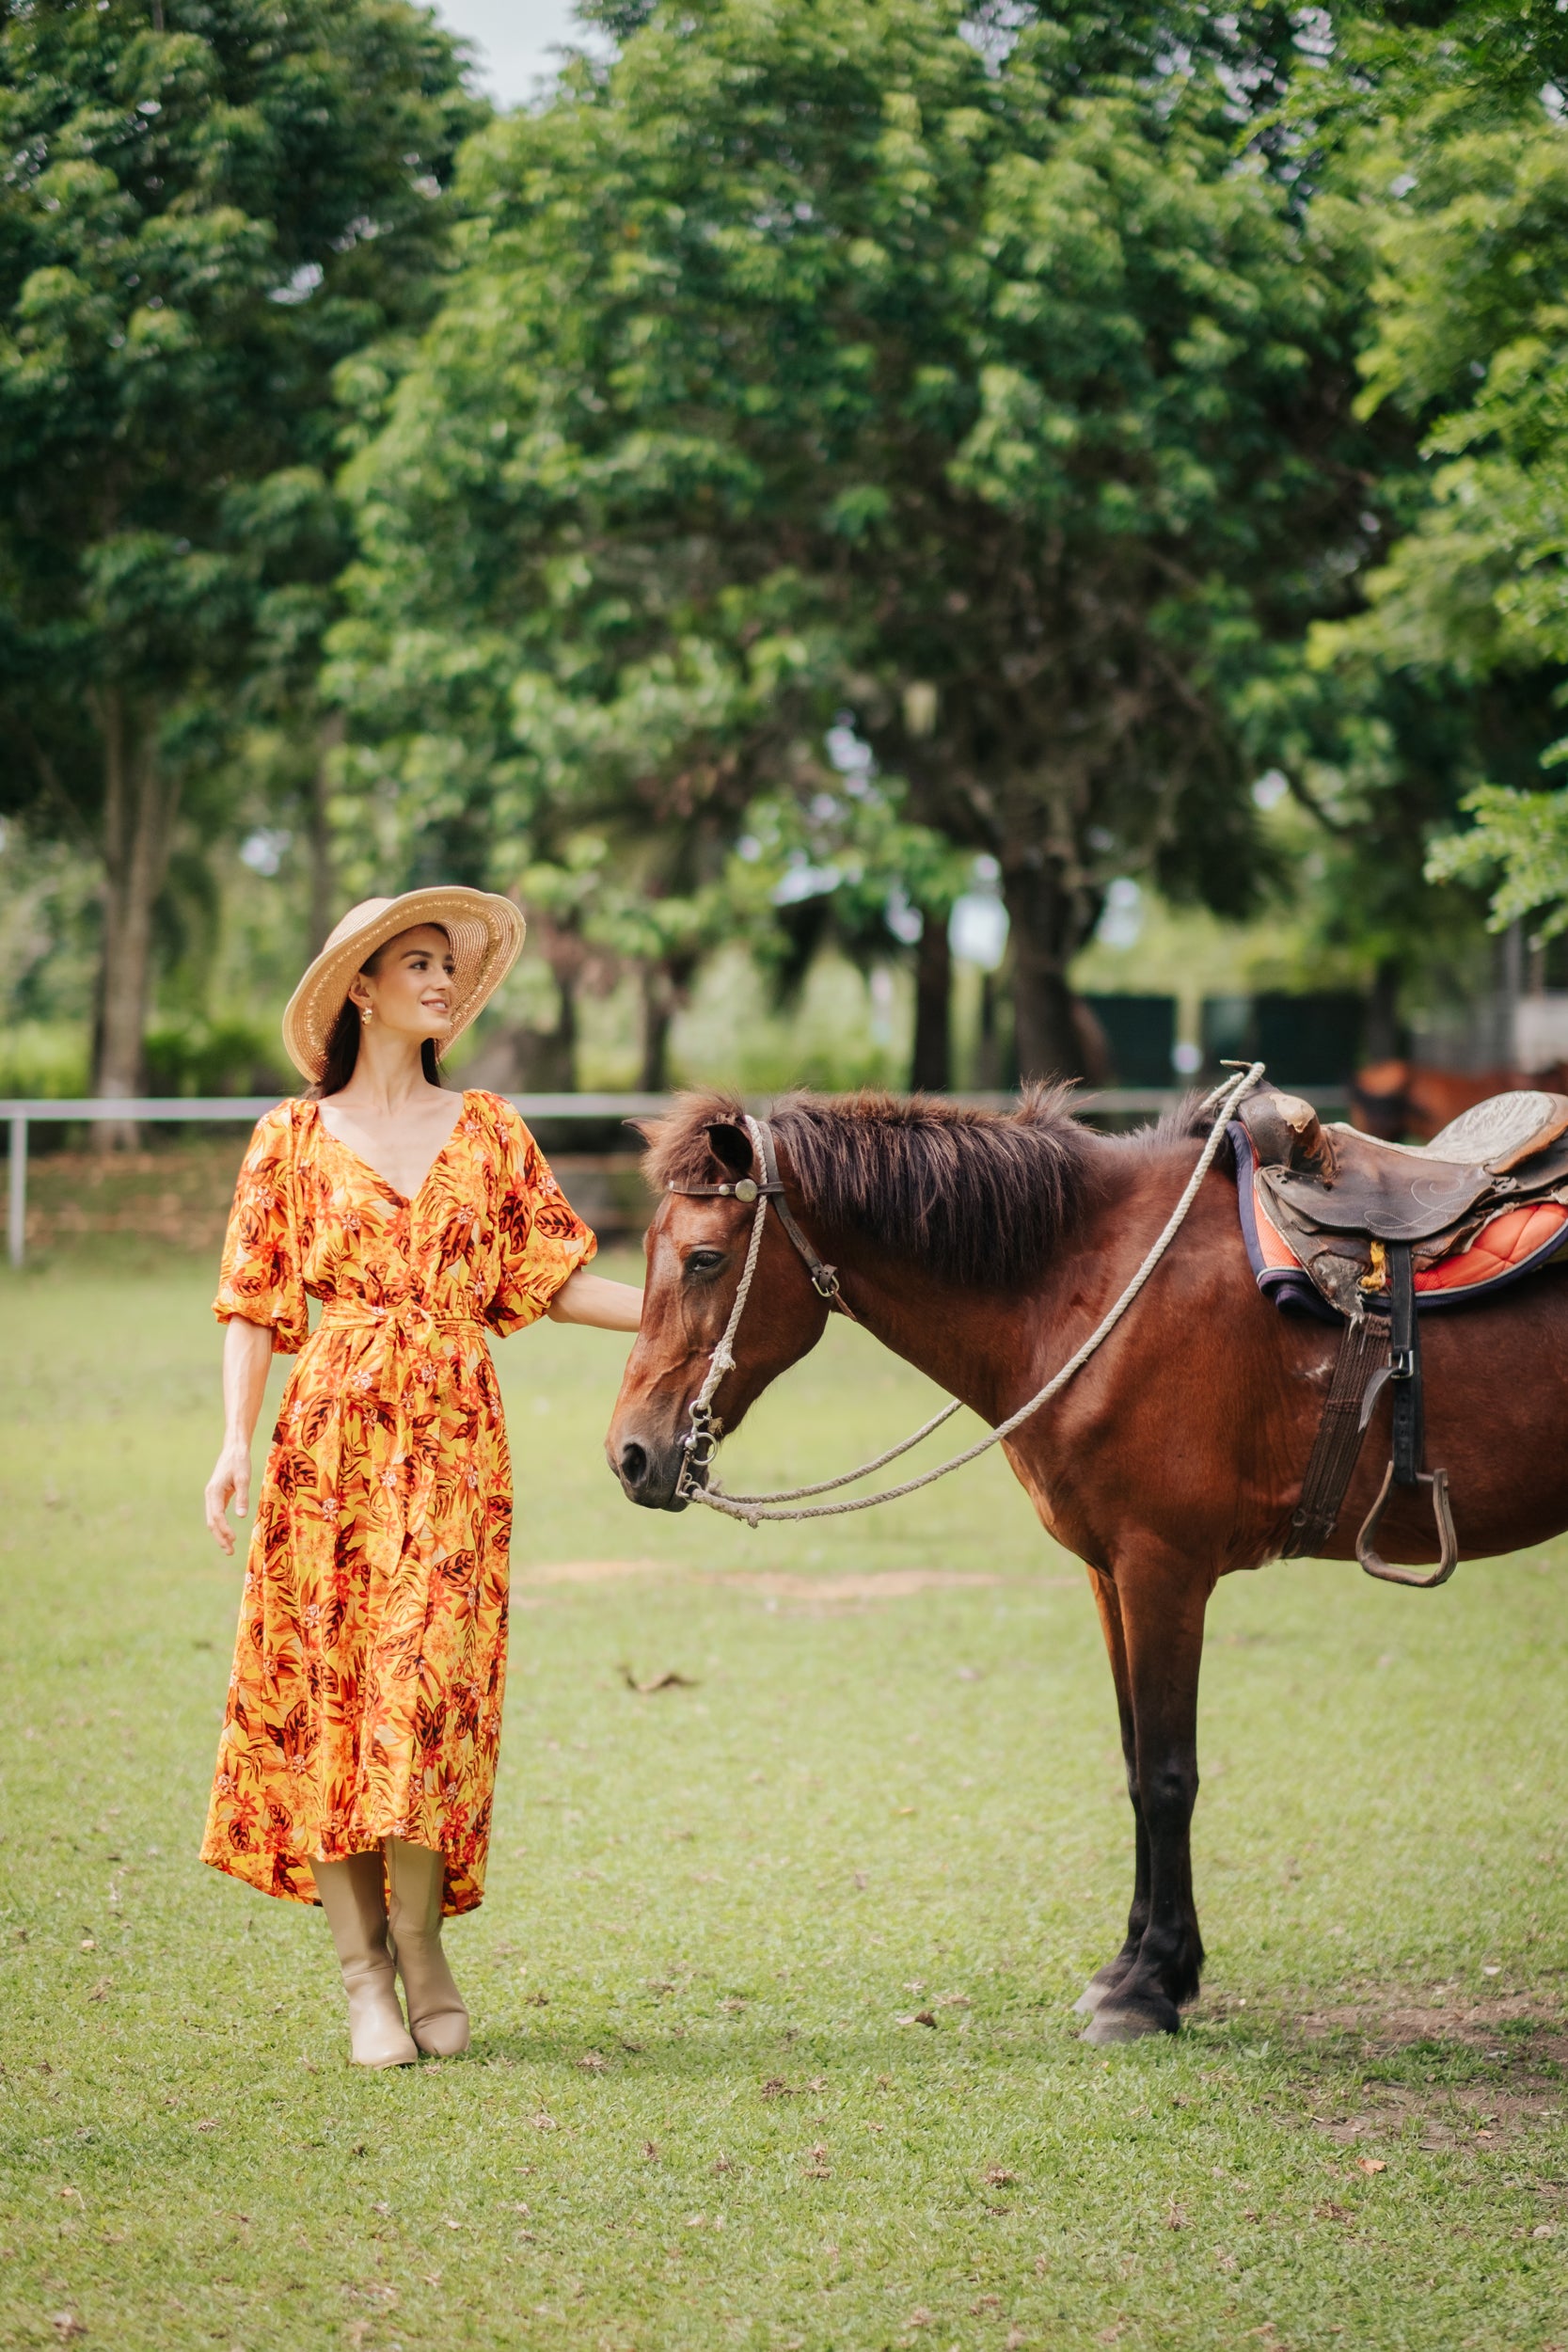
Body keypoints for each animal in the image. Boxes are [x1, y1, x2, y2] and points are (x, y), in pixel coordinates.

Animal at [606, 1087, 1568, 2042]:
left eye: (702, 1258)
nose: (631, 1455)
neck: (1094, 1283)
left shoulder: (1162, 1566)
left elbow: (1168, 1774)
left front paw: (1147, 1989)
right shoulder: (1108, 1572)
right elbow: (1134, 1764)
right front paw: (1136, 1964)